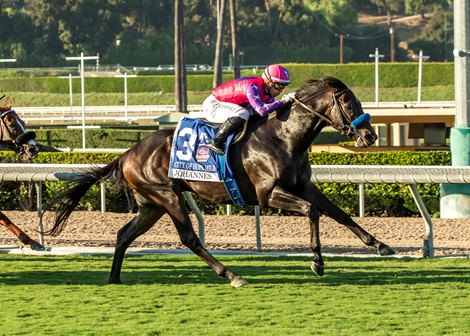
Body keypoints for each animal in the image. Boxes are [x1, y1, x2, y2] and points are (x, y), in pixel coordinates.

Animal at [45, 77, 396, 288]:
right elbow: (312, 212)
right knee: (190, 239)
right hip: (168, 197)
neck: (283, 136)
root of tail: (128, 152)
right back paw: (232, 275)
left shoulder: (303, 186)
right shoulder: (268, 194)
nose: (370, 136)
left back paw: (115, 278)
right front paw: (317, 262)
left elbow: (339, 213)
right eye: (348, 104)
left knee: (124, 235)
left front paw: (381, 245)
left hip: (152, 205)